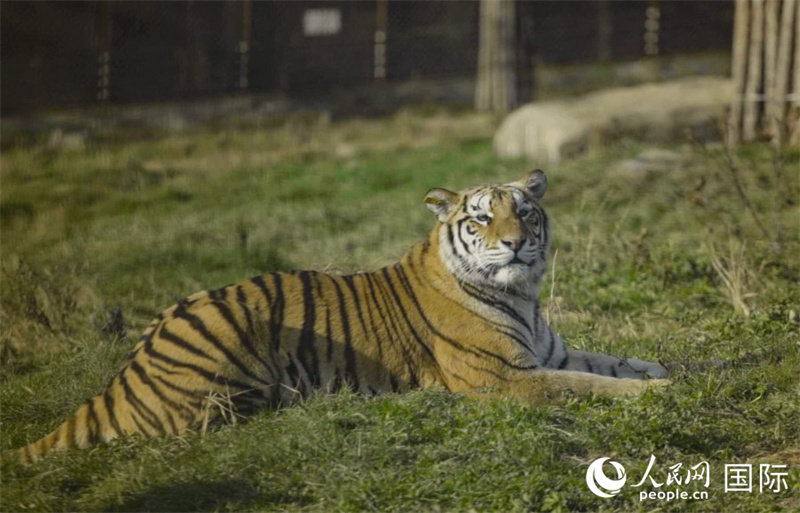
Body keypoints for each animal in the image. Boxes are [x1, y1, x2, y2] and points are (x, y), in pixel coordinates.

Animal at [7, 171, 668, 464]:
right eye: (482, 218)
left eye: (526, 213)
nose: (515, 243)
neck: (522, 296)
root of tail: (125, 370)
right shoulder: (504, 379)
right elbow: (585, 386)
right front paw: (656, 396)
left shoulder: (551, 352)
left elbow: (628, 363)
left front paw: (674, 376)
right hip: (229, 366)